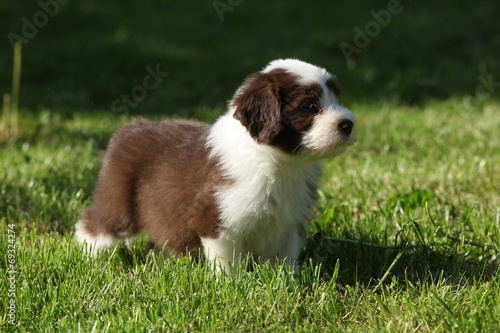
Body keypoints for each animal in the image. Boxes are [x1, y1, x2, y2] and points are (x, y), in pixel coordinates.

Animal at [74, 59, 356, 272]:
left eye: (337, 99)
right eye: (311, 106)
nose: (348, 124)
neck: (279, 161)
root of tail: (133, 127)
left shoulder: (291, 220)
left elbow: (286, 258)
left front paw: (288, 282)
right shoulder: (217, 217)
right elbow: (226, 262)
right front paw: (231, 286)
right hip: (119, 198)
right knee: (96, 223)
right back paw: (90, 257)